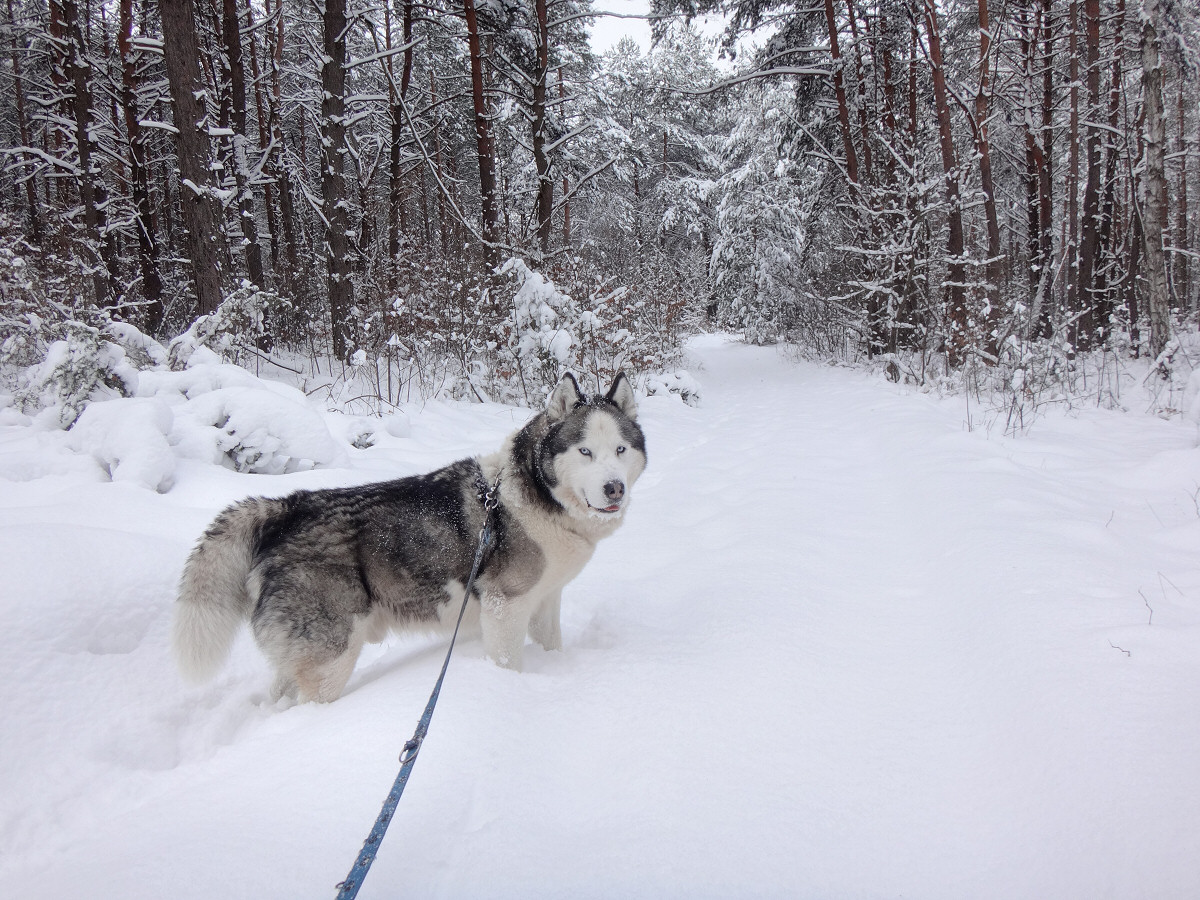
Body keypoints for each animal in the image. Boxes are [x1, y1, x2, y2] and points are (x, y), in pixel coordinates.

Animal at [170, 372, 648, 705]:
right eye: (584, 451)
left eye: (620, 450)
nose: (614, 489)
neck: (536, 492)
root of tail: (286, 507)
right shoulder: (504, 608)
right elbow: (507, 664)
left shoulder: (545, 600)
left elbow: (552, 640)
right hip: (331, 660)